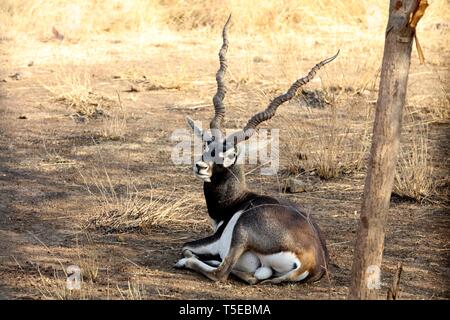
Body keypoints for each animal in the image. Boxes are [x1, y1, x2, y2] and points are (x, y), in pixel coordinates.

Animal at [176, 16, 338, 284]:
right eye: (207, 144)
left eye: (230, 154)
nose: (201, 166)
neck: (236, 203)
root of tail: (312, 261)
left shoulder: (216, 240)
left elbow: (186, 246)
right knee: (251, 275)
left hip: (242, 233)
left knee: (222, 272)